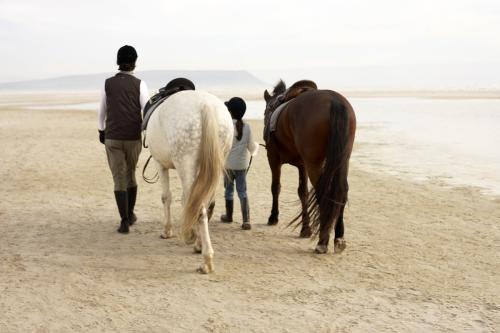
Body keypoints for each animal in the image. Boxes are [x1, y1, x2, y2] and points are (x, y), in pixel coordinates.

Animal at [146, 90, 233, 272]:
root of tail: (205, 105)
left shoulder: (160, 164)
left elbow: (167, 197)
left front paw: (168, 231)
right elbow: (186, 200)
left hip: (185, 163)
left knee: (199, 208)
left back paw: (206, 259)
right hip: (216, 165)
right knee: (205, 204)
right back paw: (200, 245)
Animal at [262, 80, 356, 252]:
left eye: (266, 112)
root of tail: (335, 101)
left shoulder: (273, 158)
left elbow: (276, 187)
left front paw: (273, 217)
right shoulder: (302, 165)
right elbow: (303, 193)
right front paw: (305, 228)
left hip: (314, 163)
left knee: (323, 192)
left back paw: (322, 241)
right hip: (342, 160)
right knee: (342, 191)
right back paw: (338, 237)